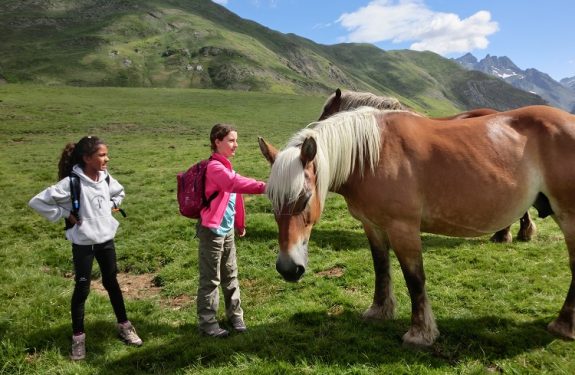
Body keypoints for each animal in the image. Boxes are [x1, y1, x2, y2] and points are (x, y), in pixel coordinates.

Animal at [260, 105, 575, 346]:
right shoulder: (373, 226)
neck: (373, 154)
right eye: (271, 200)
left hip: (569, 217)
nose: (288, 269)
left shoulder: (404, 229)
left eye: (303, 199)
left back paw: (563, 325)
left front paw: (420, 334)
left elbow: (414, 278)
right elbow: (381, 268)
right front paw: (379, 311)